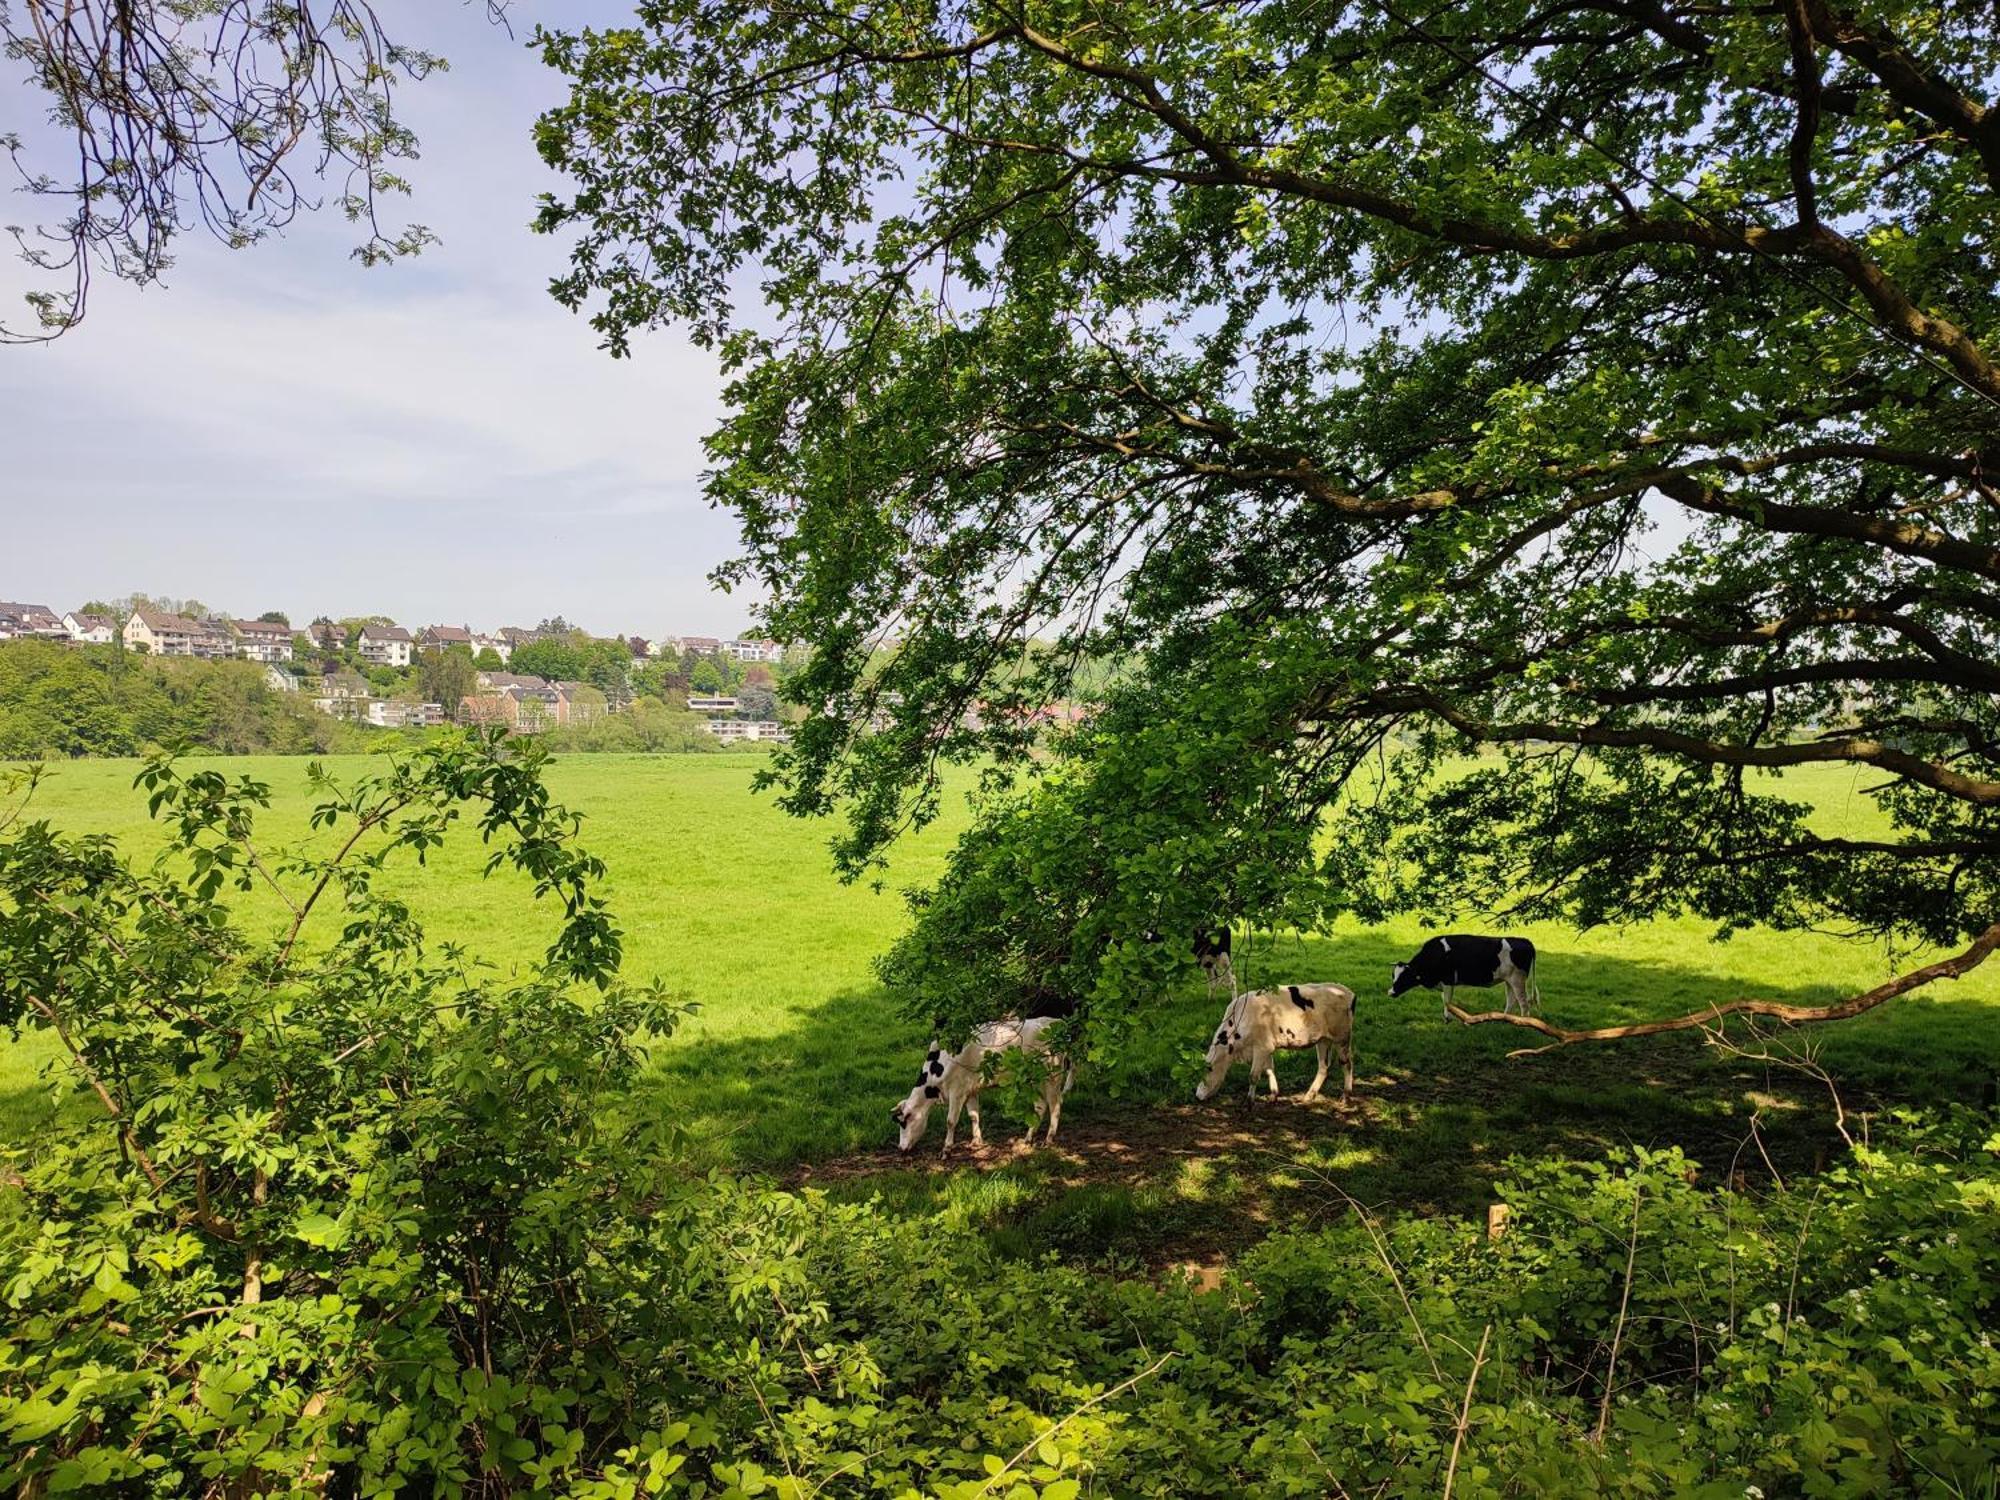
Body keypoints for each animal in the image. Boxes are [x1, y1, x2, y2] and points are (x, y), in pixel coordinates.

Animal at [896, 1024, 1080, 1160]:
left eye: (903, 1123)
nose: (901, 1148)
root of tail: (1054, 1022)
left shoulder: (957, 1090)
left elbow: (950, 1121)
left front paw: (946, 1150)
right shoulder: (970, 1089)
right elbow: (973, 1115)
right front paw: (976, 1141)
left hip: (1052, 1077)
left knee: (1055, 1104)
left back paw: (1049, 1139)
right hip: (1034, 1080)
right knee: (1040, 1106)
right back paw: (1028, 1137)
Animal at [1192, 980, 1352, 1112]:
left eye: (1208, 1069)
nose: (1197, 1095)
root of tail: (1346, 991)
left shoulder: (1262, 1047)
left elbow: (1253, 1076)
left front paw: (1249, 1103)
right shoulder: (1267, 1046)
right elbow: (1269, 1070)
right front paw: (1274, 1095)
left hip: (1342, 1038)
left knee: (1347, 1064)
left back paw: (1345, 1097)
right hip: (1323, 1039)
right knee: (1323, 1067)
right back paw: (1308, 1096)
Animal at [1392, 940, 1544, 1024]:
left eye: (1404, 976)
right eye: (1393, 975)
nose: (1391, 992)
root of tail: (1525, 940)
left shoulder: (1448, 981)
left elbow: (1447, 1001)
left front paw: (1447, 1019)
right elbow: (1445, 1000)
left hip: (1518, 979)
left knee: (1523, 1003)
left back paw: (1522, 1022)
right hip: (1509, 980)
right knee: (1511, 999)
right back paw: (1505, 1019)